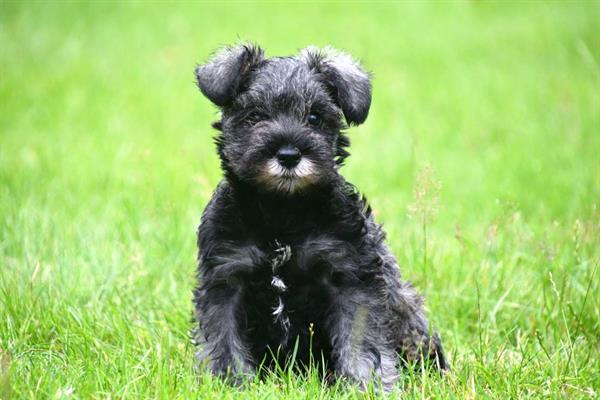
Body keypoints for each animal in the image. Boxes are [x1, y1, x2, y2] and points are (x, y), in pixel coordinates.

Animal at [191, 43, 446, 390]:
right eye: (255, 115)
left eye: (314, 117)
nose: (288, 155)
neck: (282, 214)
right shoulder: (226, 278)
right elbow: (223, 340)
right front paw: (230, 382)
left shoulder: (350, 278)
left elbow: (360, 342)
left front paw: (366, 385)